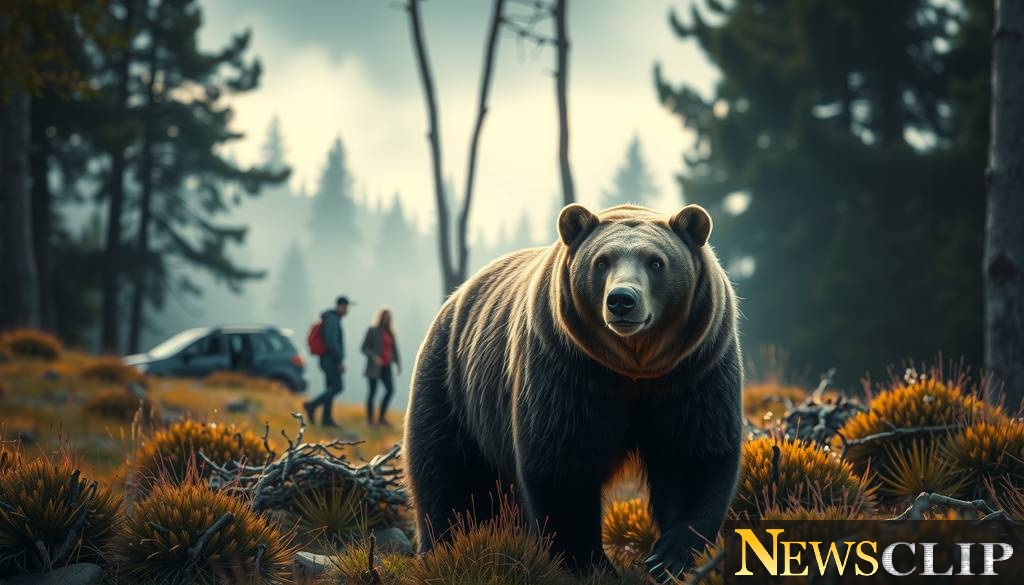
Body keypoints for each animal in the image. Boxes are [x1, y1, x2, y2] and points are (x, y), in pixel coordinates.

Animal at [402, 203, 743, 581]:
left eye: (656, 261)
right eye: (602, 261)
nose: (621, 300)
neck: (633, 369)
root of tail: (454, 298)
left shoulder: (693, 372)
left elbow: (691, 455)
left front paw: (668, 557)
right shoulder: (567, 371)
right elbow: (562, 464)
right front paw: (590, 562)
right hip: (451, 389)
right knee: (447, 478)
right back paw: (443, 550)